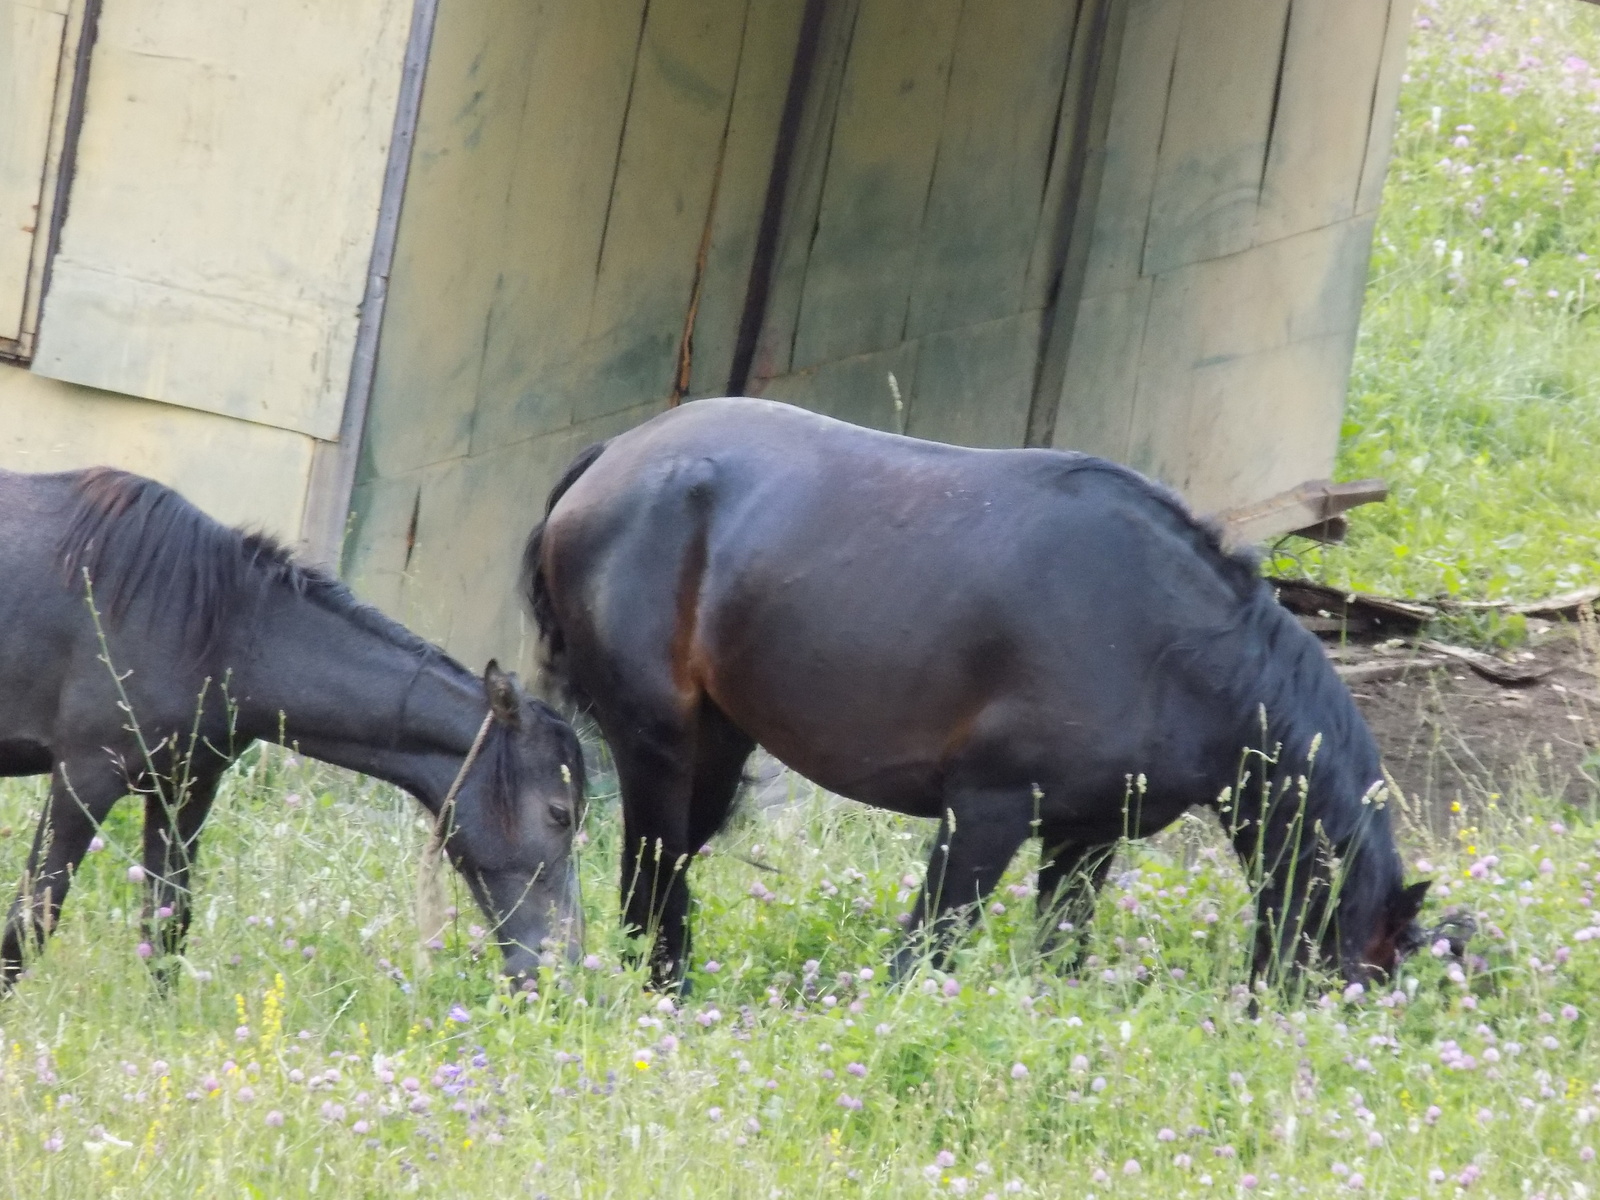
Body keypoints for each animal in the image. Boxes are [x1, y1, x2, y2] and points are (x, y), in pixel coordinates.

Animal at [521, 400, 1440, 992]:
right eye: (1361, 975)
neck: (1168, 647)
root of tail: (609, 458)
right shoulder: (985, 813)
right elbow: (925, 948)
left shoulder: (1085, 838)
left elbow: (1059, 951)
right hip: (658, 742)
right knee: (648, 865)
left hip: (718, 745)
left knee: (667, 868)